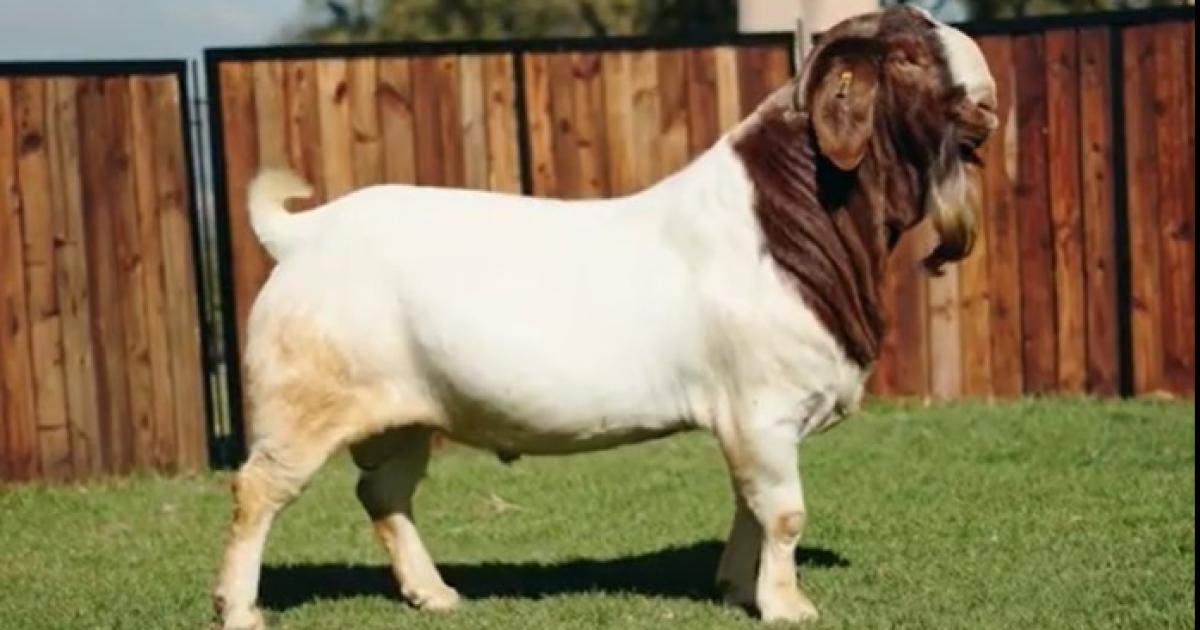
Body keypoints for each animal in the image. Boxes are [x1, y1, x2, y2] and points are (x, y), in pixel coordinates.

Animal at [213, 6, 998, 628]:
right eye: (905, 56)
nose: (990, 103)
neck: (791, 224)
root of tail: (303, 235)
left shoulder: (744, 424)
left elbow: (747, 504)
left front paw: (734, 588)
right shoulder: (762, 410)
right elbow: (782, 512)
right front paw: (789, 607)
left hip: (404, 415)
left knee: (383, 493)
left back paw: (435, 595)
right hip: (301, 408)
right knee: (256, 492)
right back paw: (240, 610)